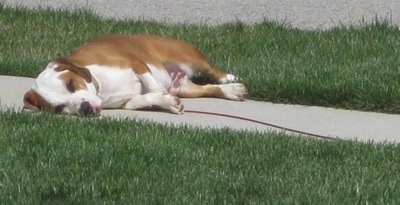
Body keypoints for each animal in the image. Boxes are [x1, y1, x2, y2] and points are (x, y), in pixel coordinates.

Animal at [22, 34, 247, 116]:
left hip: (188, 55)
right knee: (207, 88)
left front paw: (166, 99)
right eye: (59, 108)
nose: (85, 109)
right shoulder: (126, 102)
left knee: (211, 69)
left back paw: (228, 79)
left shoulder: (135, 64)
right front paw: (167, 102)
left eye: (70, 84)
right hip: (186, 88)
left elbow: (153, 86)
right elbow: (144, 99)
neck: (100, 87)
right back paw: (231, 91)